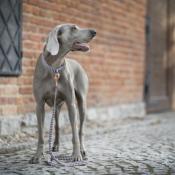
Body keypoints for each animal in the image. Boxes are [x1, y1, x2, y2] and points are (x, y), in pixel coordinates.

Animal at [29, 23, 96, 163]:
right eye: (74, 28)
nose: (94, 32)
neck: (55, 66)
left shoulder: (71, 104)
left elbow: (75, 132)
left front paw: (76, 154)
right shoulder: (39, 105)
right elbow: (40, 135)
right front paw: (38, 155)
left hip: (82, 104)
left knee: (80, 130)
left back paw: (82, 150)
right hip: (56, 106)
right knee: (57, 126)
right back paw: (55, 146)